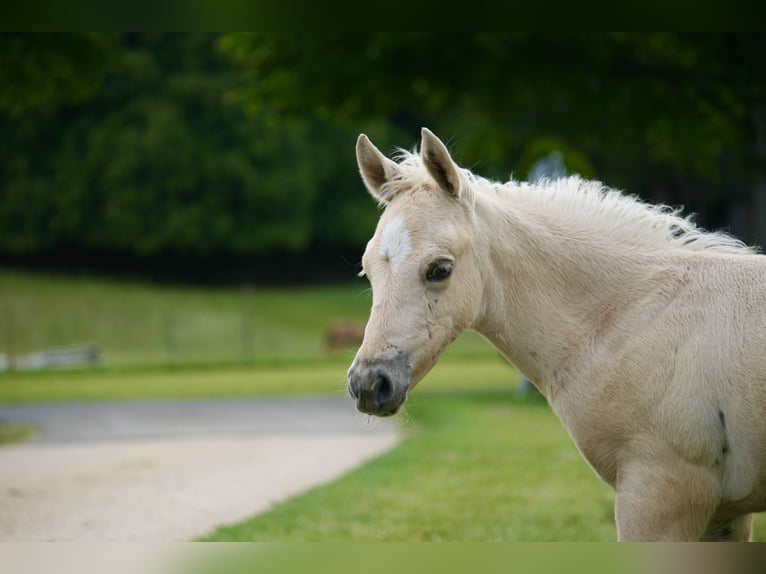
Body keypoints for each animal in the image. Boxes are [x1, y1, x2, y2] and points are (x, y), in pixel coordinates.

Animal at [347, 128, 766, 541]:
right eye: (367, 270)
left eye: (439, 269)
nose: (369, 383)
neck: (631, 313)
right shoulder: (722, 514)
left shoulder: (659, 496)